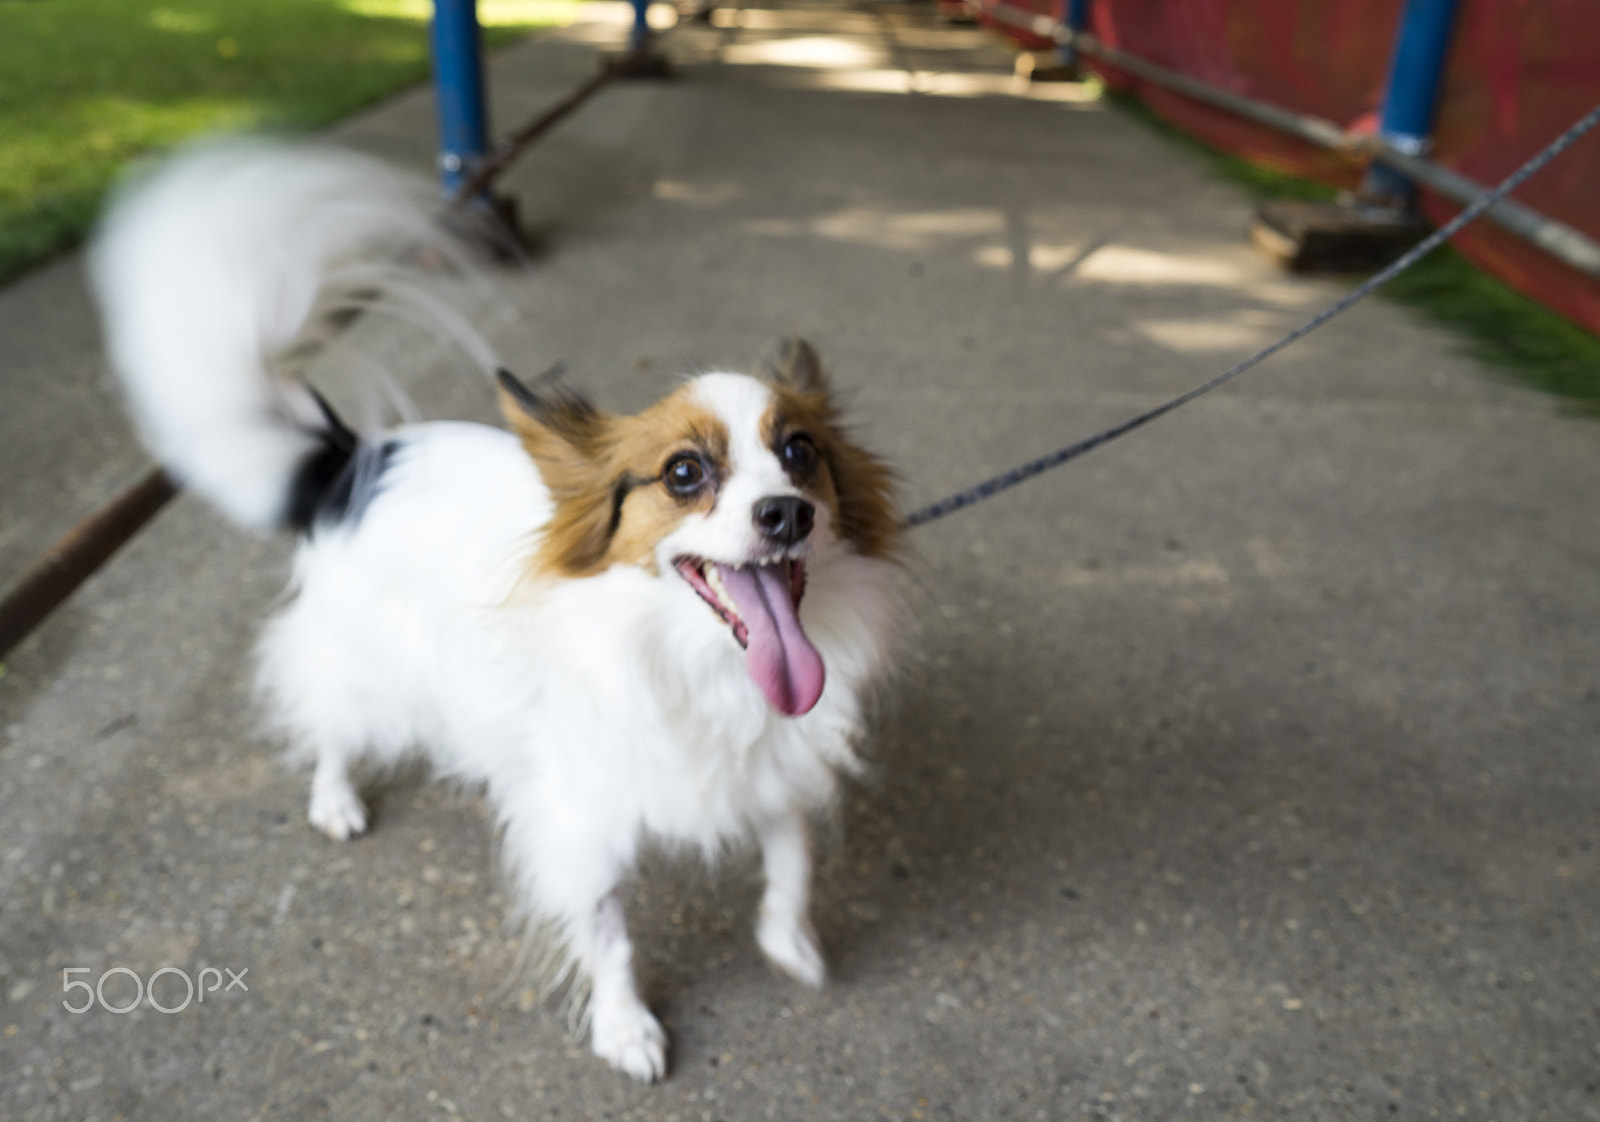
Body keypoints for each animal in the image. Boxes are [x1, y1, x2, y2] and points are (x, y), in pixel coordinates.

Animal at [93, 137, 908, 1075]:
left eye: (802, 454)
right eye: (683, 473)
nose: (786, 514)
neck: (695, 663)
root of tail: (351, 458)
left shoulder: (772, 763)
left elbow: (791, 857)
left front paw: (788, 941)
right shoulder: (581, 814)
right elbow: (610, 934)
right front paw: (625, 1027)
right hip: (365, 660)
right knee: (328, 715)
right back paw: (335, 799)